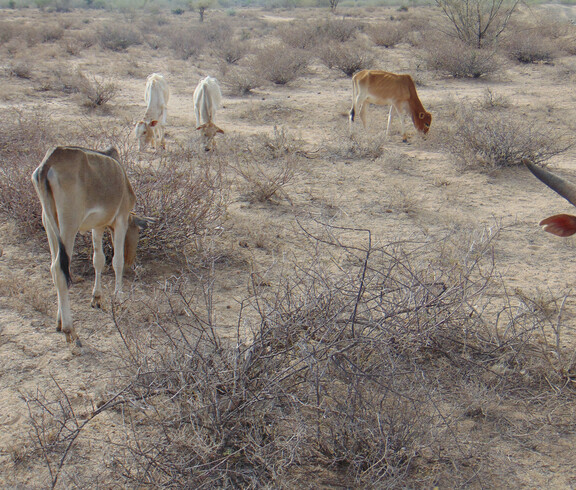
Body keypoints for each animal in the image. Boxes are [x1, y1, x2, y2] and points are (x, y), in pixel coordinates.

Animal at [30, 145, 148, 348]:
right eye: (137, 232)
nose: (131, 264)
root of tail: (50, 161)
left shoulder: (98, 226)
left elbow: (98, 260)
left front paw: (97, 297)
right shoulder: (121, 219)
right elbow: (116, 261)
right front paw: (119, 299)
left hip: (49, 223)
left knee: (54, 268)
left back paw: (60, 322)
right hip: (69, 224)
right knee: (59, 269)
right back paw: (71, 331)